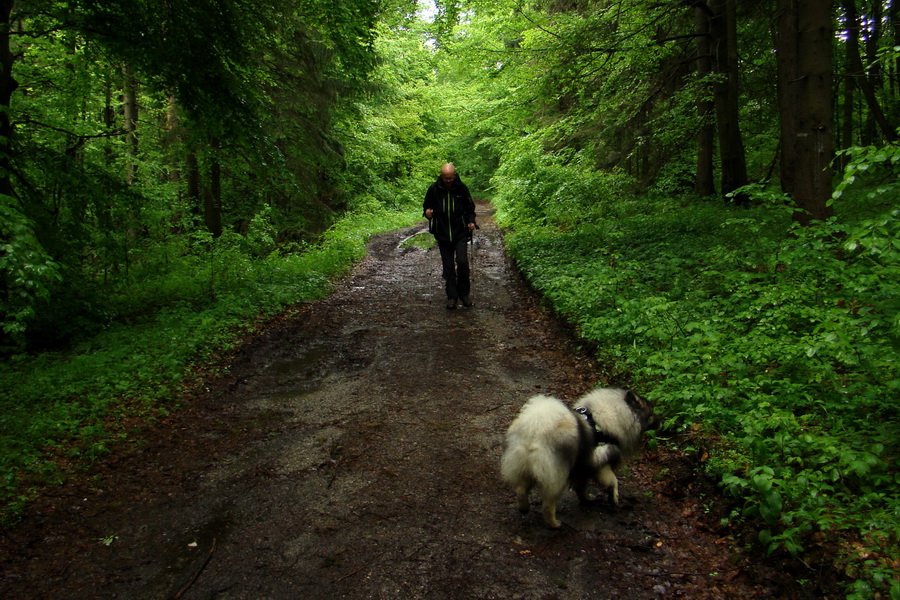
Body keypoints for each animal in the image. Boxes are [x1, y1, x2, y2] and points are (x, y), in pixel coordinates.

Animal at [502, 390, 656, 524]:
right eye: (651, 415)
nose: (661, 421)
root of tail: (534, 431)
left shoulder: (583, 465)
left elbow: (582, 486)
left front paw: (587, 498)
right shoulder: (599, 461)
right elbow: (612, 480)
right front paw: (613, 497)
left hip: (524, 467)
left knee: (521, 490)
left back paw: (524, 508)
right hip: (558, 475)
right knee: (547, 504)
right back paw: (554, 523)